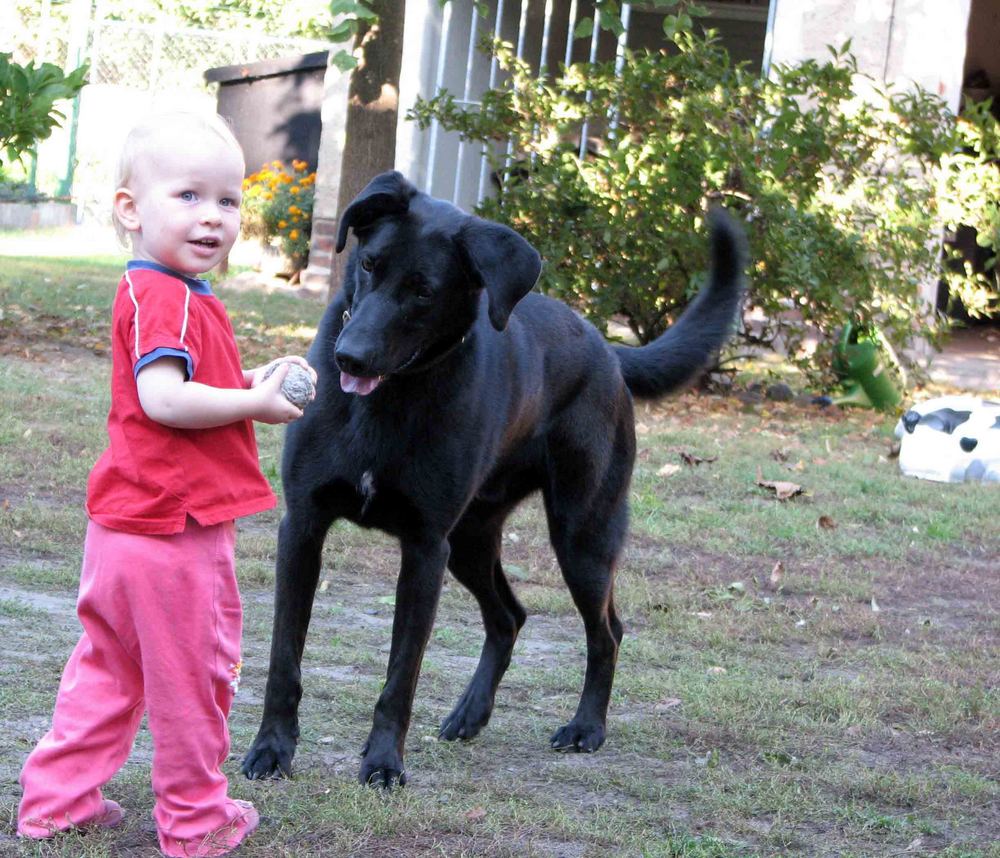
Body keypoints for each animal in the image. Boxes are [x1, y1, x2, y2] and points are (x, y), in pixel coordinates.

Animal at [240, 171, 744, 784]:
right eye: (368, 265)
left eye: (424, 291)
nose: (349, 358)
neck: (386, 403)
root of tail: (607, 348)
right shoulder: (304, 527)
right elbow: (283, 660)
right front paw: (271, 749)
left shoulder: (425, 548)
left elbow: (401, 676)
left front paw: (383, 763)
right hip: (471, 541)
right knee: (509, 616)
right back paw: (470, 713)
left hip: (580, 537)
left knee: (607, 631)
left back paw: (586, 727)